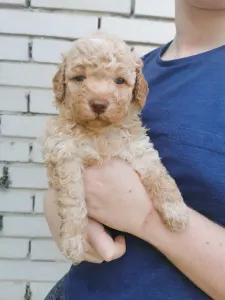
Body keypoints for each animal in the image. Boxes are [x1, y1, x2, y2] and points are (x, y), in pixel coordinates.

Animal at [40, 31, 188, 264]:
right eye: (79, 78)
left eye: (120, 81)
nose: (99, 104)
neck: (98, 133)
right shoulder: (64, 153)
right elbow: (73, 200)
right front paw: (73, 241)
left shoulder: (138, 148)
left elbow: (160, 175)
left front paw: (176, 210)